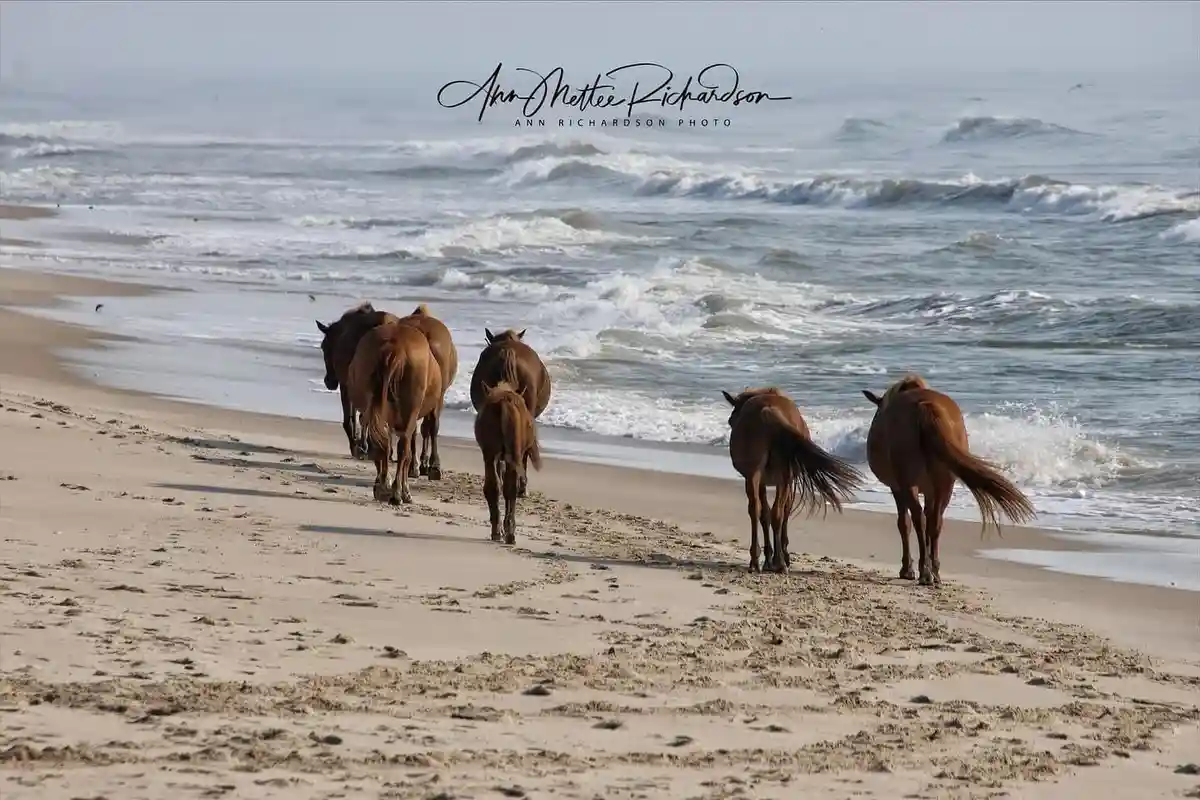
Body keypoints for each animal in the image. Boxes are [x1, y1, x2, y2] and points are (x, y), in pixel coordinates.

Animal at [352, 322, 437, 506]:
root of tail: (395, 348)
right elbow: (407, 454)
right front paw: (404, 491)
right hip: (408, 415)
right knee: (403, 449)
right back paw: (397, 493)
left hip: (375, 411)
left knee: (380, 444)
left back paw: (383, 487)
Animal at [395, 303, 459, 481]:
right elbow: (428, 427)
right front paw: (426, 463)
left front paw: (419, 464)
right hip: (438, 395)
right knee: (433, 425)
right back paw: (434, 465)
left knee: (412, 430)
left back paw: (413, 466)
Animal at [474, 380, 543, 545]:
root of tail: (504, 402)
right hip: (512, 455)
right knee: (509, 488)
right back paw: (509, 532)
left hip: (490, 454)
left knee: (494, 486)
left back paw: (497, 531)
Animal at [722, 387, 865, 574]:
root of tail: (767, 411)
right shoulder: (787, 482)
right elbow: (784, 511)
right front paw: (781, 556)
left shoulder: (762, 481)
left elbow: (765, 515)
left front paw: (768, 558)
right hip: (783, 477)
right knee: (777, 513)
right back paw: (780, 562)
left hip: (755, 475)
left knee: (756, 510)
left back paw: (756, 560)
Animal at [862, 374, 1037, 586]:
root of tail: (925, 407)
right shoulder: (929, 490)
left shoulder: (897, 487)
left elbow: (904, 523)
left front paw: (907, 568)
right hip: (945, 484)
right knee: (935, 522)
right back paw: (933, 571)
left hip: (909, 483)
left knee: (919, 520)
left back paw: (925, 571)